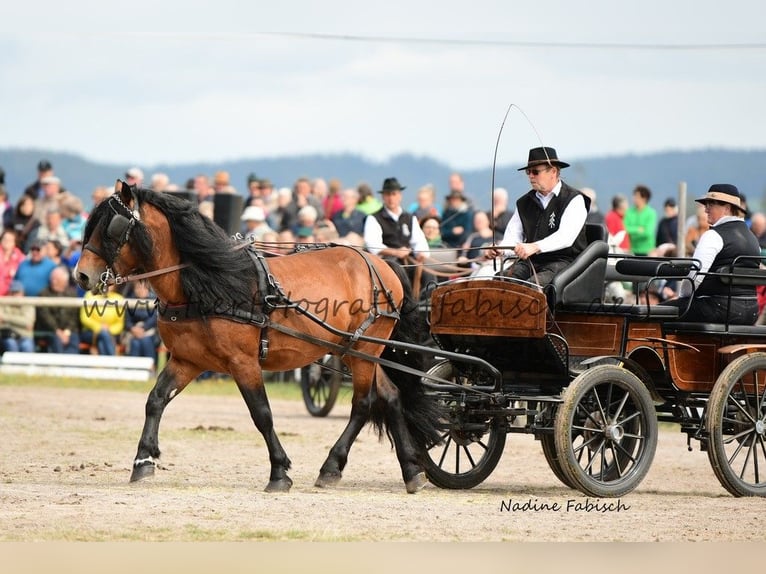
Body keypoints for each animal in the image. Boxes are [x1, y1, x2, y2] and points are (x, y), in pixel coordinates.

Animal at [75, 180, 441, 493]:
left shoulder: (244, 362)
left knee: (363, 404)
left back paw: (332, 467)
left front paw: (279, 472)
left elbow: (261, 414)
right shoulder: (187, 360)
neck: (206, 283)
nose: (82, 275)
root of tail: (382, 263)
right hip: (355, 350)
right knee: (391, 397)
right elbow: (155, 400)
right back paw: (411, 472)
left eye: (112, 227)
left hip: (365, 347)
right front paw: (143, 460)